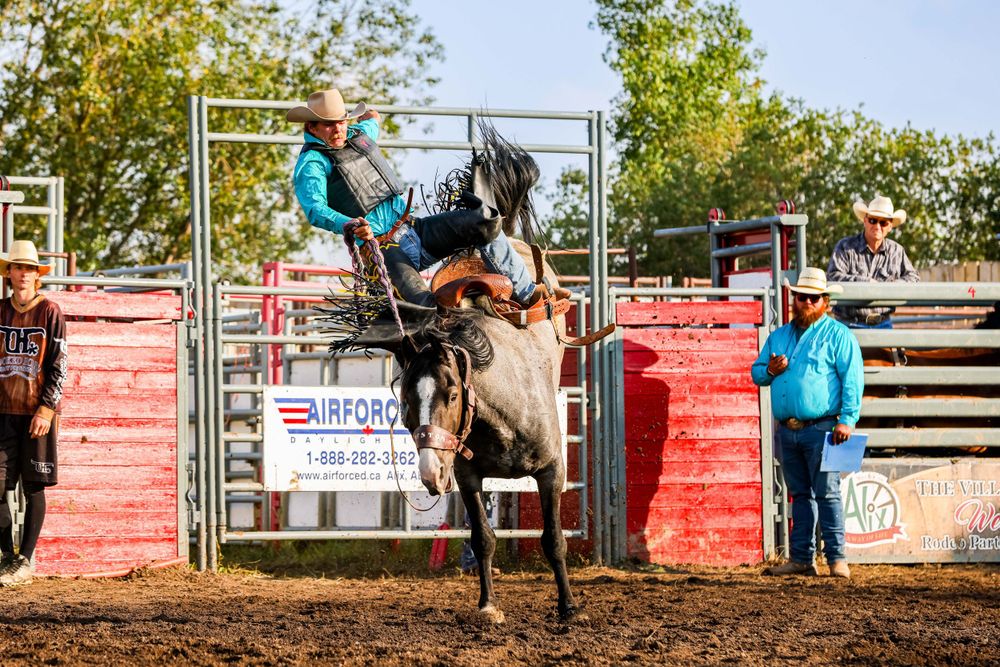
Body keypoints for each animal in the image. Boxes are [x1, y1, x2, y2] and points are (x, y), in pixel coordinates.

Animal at [325, 125, 583, 622]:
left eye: (450, 394)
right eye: (406, 403)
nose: (429, 472)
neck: (503, 415)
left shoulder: (552, 470)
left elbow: (553, 540)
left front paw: (567, 607)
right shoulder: (465, 476)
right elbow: (482, 538)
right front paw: (487, 606)